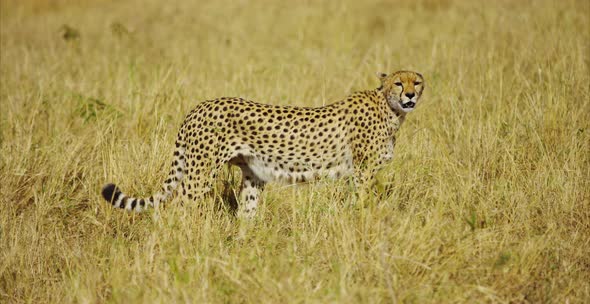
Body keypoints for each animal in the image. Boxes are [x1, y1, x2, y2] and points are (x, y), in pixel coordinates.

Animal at [102, 70, 426, 216]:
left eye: (417, 82)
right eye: (399, 83)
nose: (410, 95)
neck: (391, 109)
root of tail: (200, 106)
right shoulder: (362, 171)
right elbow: (363, 203)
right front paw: (364, 224)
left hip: (252, 175)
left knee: (245, 215)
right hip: (200, 174)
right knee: (177, 208)